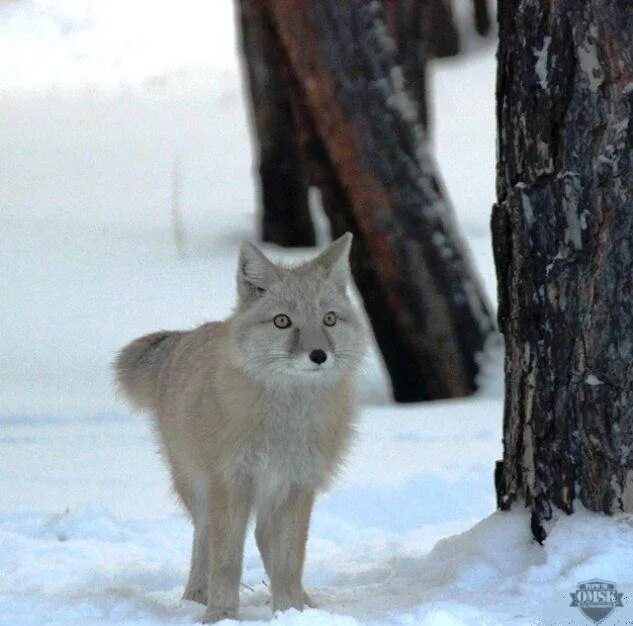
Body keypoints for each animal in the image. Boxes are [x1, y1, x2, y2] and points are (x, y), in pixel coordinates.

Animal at [115, 232, 366, 620]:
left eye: (328, 319)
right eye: (282, 321)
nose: (319, 356)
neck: (284, 423)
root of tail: (187, 334)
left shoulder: (296, 486)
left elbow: (289, 563)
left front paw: (290, 612)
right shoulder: (231, 483)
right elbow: (227, 563)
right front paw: (220, 616)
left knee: (263, 538)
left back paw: (300, 601)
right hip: (198, 490)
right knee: (204, 538)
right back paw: (195, 596)